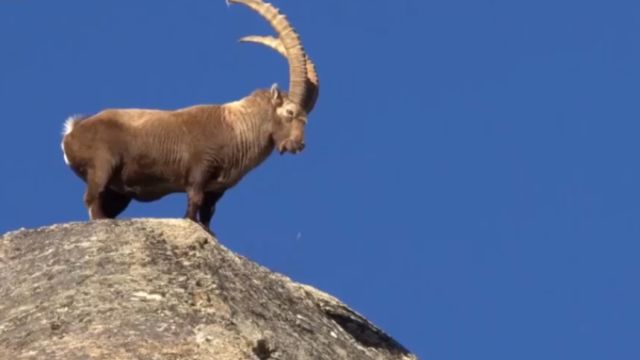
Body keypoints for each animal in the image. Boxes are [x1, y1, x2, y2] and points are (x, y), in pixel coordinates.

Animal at [61, 0, 318, 229]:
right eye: (290, 112)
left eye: (306, 119)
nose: (297, 144)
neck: (236, 125)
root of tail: (72, 132)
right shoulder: (199, 170)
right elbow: (194, 202)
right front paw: (190, 223)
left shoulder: (217, 188)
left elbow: (208, 212)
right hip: (102, 166)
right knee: (91, 199)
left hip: (119, 192)